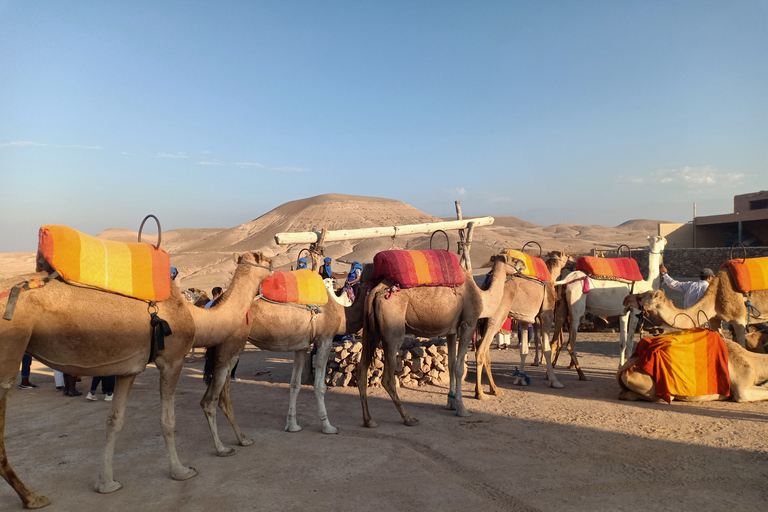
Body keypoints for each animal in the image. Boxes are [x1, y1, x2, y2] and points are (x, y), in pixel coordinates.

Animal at [0, 250, 272, 506]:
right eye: (261, 257)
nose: (272, 266)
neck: (195, 317)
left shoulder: (128, 370)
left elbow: (114, 421)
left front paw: (106, 483)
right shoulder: (171, 360)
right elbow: (168, 420)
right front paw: (182, 470)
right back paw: (32, 497)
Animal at [356, 253, 520, 428]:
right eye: (515, 260)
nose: (523, 266)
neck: (482, 296)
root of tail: (375, 292)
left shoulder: (451, 332)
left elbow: (451, 365)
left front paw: (451, 403)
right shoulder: (468, 324)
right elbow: (459, 368)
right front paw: (462, 409)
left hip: (370, 331)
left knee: (361, 371)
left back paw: (369, 420)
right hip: (393, 332)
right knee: (387, 378)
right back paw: (408, 418)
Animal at [472, 252, 572, 400]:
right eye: (567, 257)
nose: (573, 262)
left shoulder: (524, 320)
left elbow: (523, 349)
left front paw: (521, 379)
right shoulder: (546, 315)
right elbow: (547, 348)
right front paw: (554, 380)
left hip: (485, 321)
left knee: (484, 350)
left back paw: (492, 389)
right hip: (496, 318)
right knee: (481, 349)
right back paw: (481, 393)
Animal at [552, 236, 664, 368]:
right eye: (662, 239)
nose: (666, 241)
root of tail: (566, 279)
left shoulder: (623, 312)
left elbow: (623, 342)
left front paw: (620, 366)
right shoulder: (635, 310)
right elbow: (630, 342)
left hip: (561, 306)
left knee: (554, 340)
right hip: (576, 307)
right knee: (571, 342)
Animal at [624, 268, 768, 348]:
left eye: (641, 296)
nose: (626, 299)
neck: (715, 298)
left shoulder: (739, 320)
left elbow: (742, 346)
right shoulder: (714, 319)